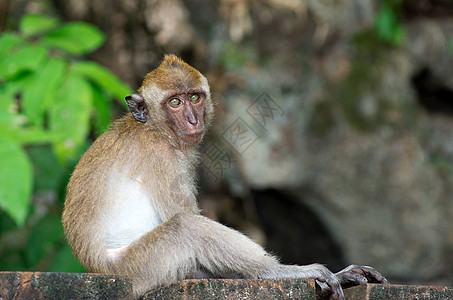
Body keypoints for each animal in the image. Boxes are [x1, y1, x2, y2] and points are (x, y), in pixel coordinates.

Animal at [61, 54, 388, 300]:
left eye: (194, 97)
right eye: (175, 102)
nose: (192, 120)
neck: (153, 129)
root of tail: (97, 268)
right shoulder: (162, 159)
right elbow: (186, 226)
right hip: (137, 268)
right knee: (186, 227)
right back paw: (274, 271)